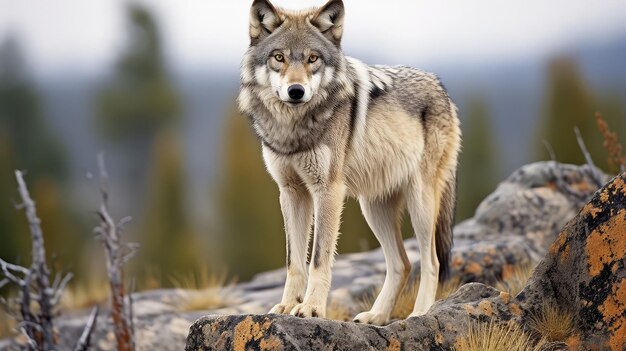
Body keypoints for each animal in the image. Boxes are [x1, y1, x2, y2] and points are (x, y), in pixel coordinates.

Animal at [235, 0, 458, 328]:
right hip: (373, 208)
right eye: (279, 57)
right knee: (402, 263)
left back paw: (420, 314)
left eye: (313, 58)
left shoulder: (327, 191)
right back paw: (377, 316)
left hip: (420, 203)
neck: (294, 129)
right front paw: (287, 306)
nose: (296, 91)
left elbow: (318, 260)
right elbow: (294, 261)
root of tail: (441, 87)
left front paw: (311, 309)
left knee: (432, 261)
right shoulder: (291, 193)